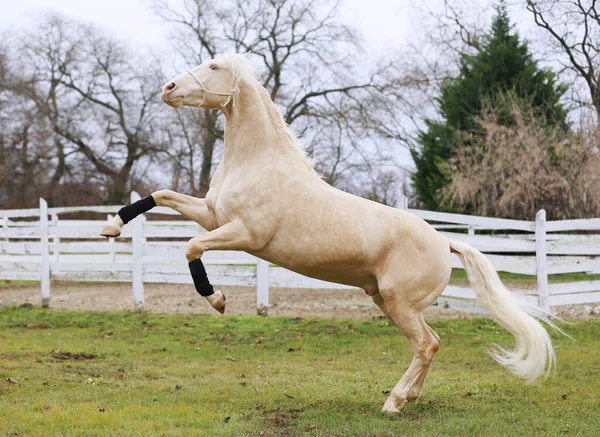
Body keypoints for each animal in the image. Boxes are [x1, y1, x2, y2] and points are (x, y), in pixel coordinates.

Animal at [101, 52, 556, 414]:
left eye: (213, 67)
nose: (169, 89)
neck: (258, 164)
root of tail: (446, 242)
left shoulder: (244, 234)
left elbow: (191, 246)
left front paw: (218, 300)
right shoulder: (213, 216)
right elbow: (161, 195)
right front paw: (112, 225)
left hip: (400, 303)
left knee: (426, 345)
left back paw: (393, 403)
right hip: (390, 302)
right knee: (432, 342)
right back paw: (409, 397)